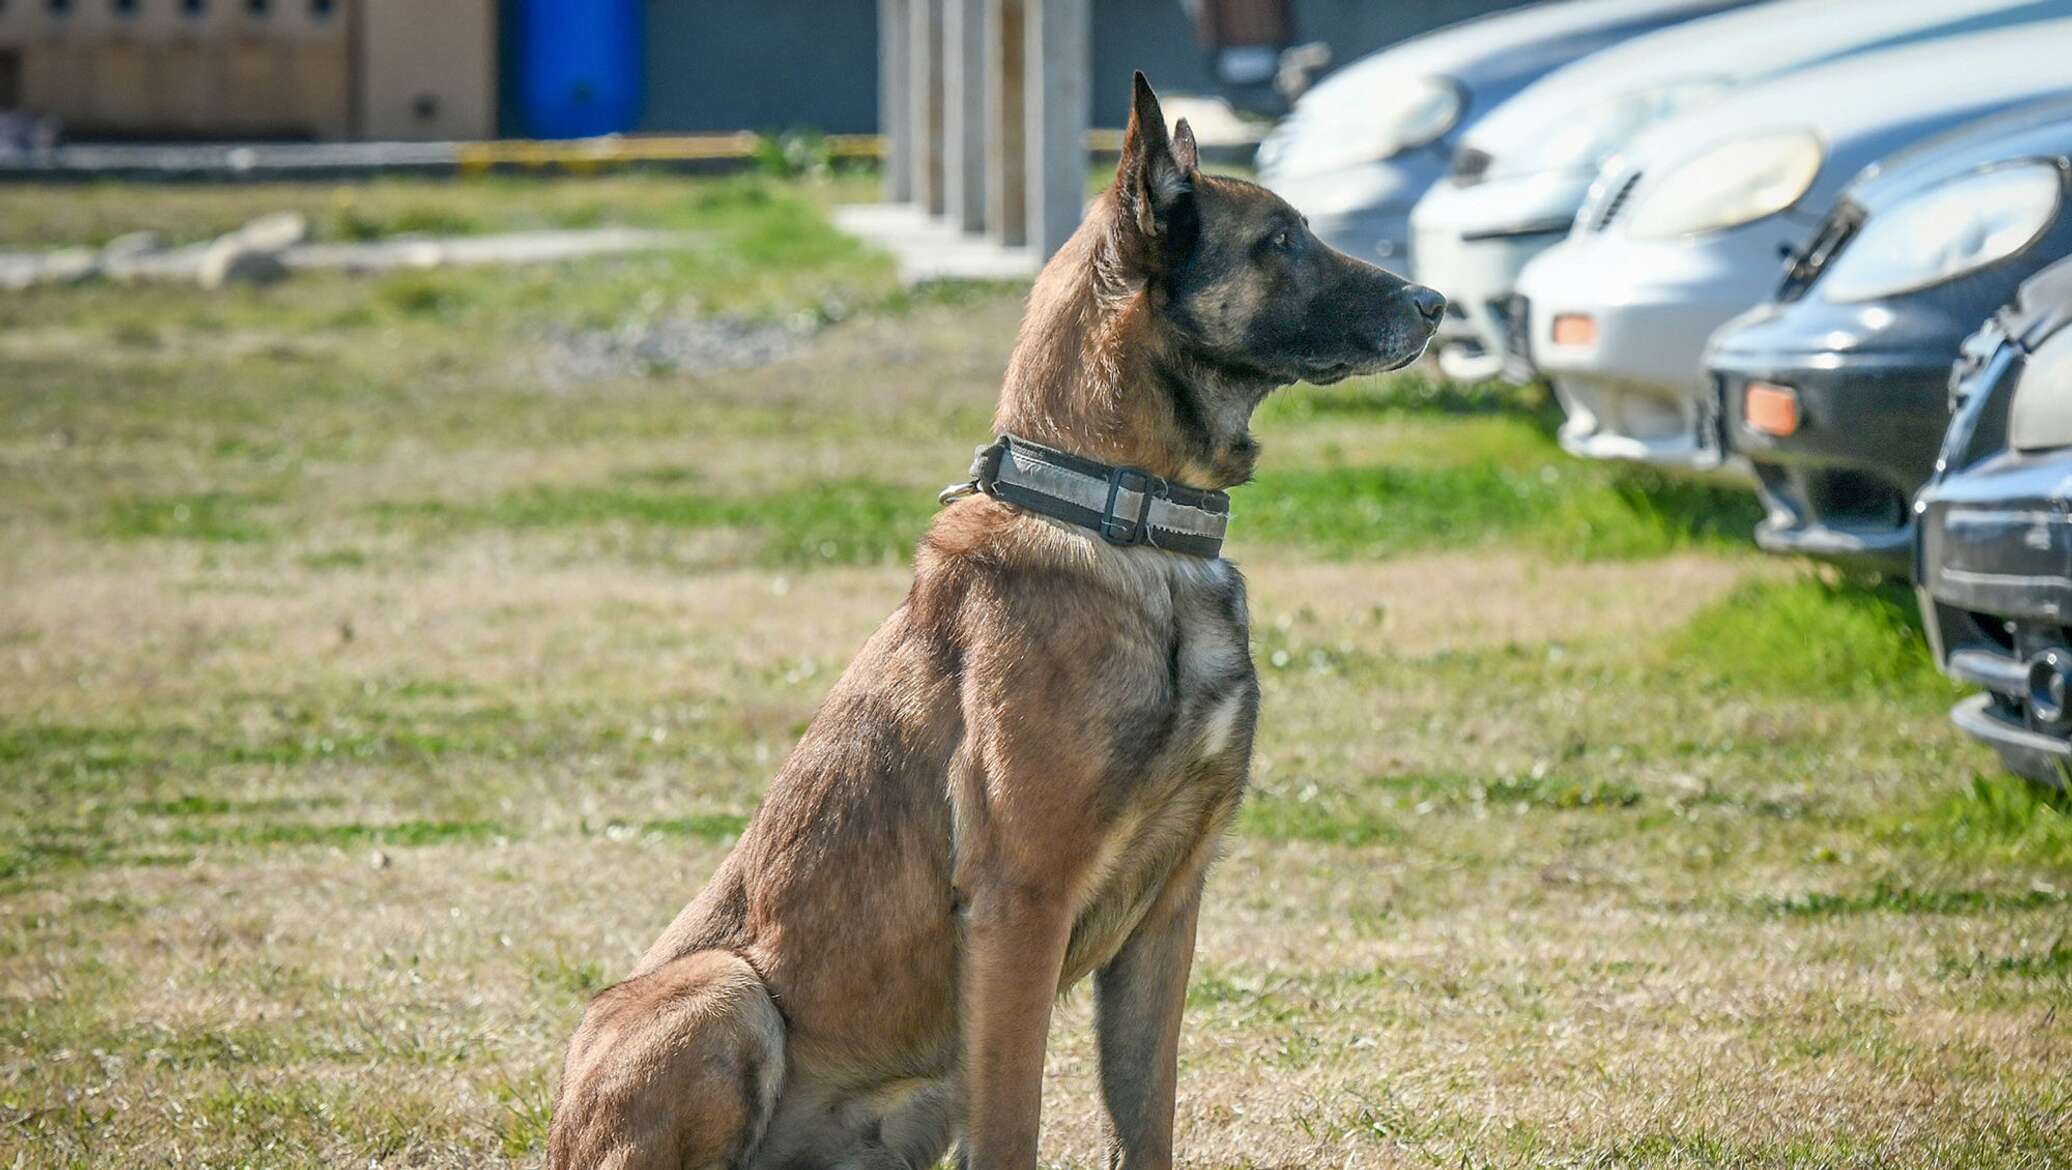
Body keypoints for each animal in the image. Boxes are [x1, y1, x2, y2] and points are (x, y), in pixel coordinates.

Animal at [547, 75, 1442, 1167]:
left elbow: (1145, 1118)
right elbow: (1016, 1124)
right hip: (725, 994)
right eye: (1279, 242)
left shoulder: (1167, 915)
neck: (1129, 524)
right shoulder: (1021, 905)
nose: (1434, 302)